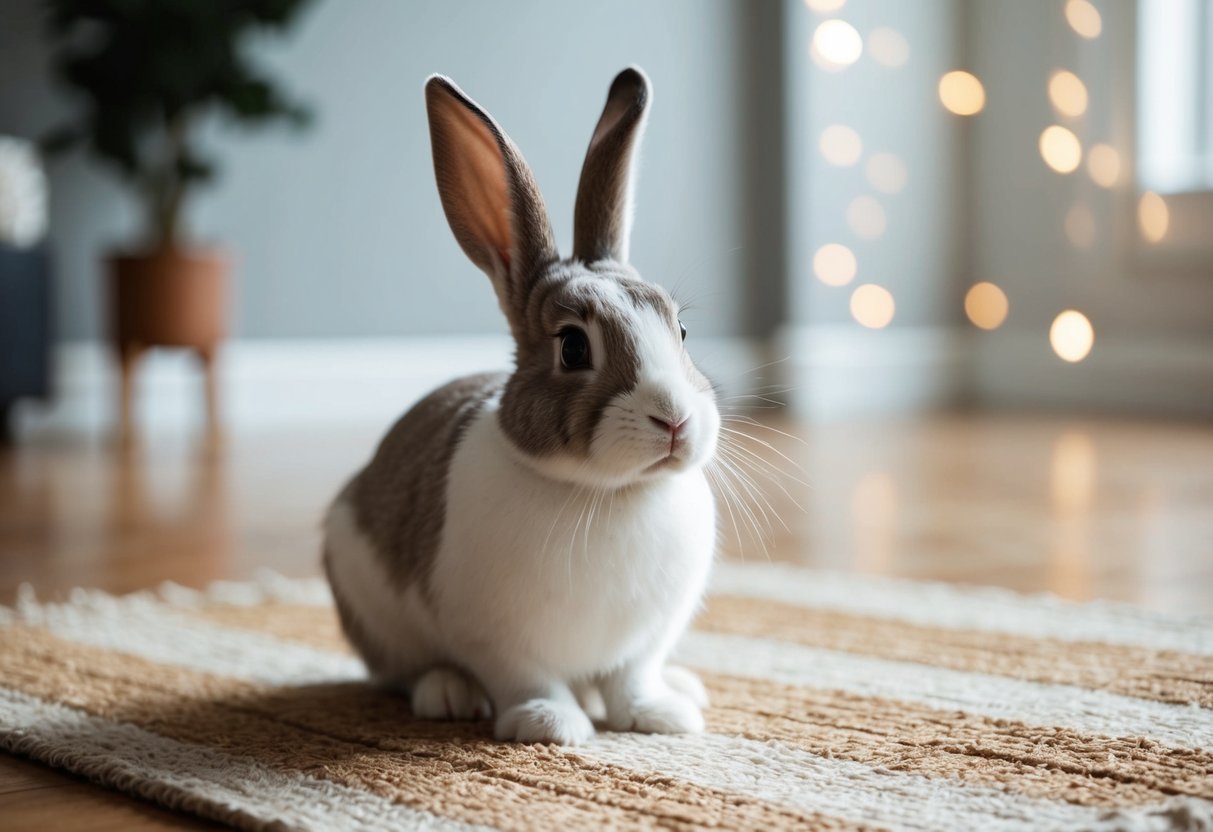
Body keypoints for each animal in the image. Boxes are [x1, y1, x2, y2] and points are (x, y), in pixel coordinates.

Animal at [322, 67, 720, 746]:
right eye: (573, 346)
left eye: (683, 332)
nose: (675, 420)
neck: (609, 493)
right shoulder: (493, 636)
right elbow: (528, 678)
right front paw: (551, 725)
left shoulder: (645, 640)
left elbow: (632, 678)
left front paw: (660, 717)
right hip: (370, 603)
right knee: (402, 670)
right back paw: (448, 694)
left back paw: (685, 687)